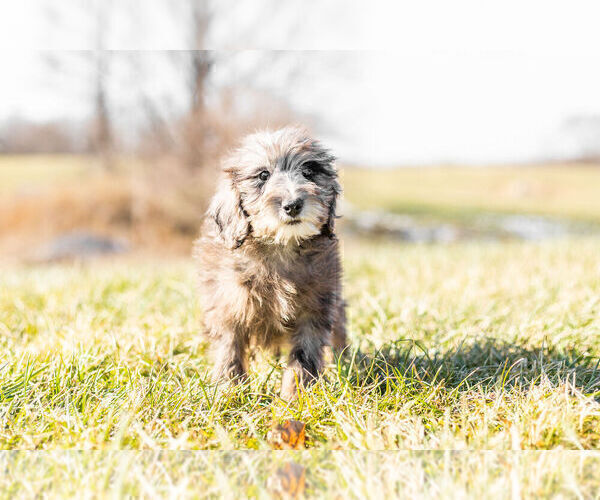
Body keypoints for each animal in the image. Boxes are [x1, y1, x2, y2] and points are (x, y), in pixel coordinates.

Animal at [195, 127, 344, 400]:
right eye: (263, 176)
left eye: (308, 172)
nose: (293, 205)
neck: (280, 246)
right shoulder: (227, 305)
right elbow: (229, 349)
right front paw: (229, 392)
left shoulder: (315, 307)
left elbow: (304, 355)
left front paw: (296, 396)